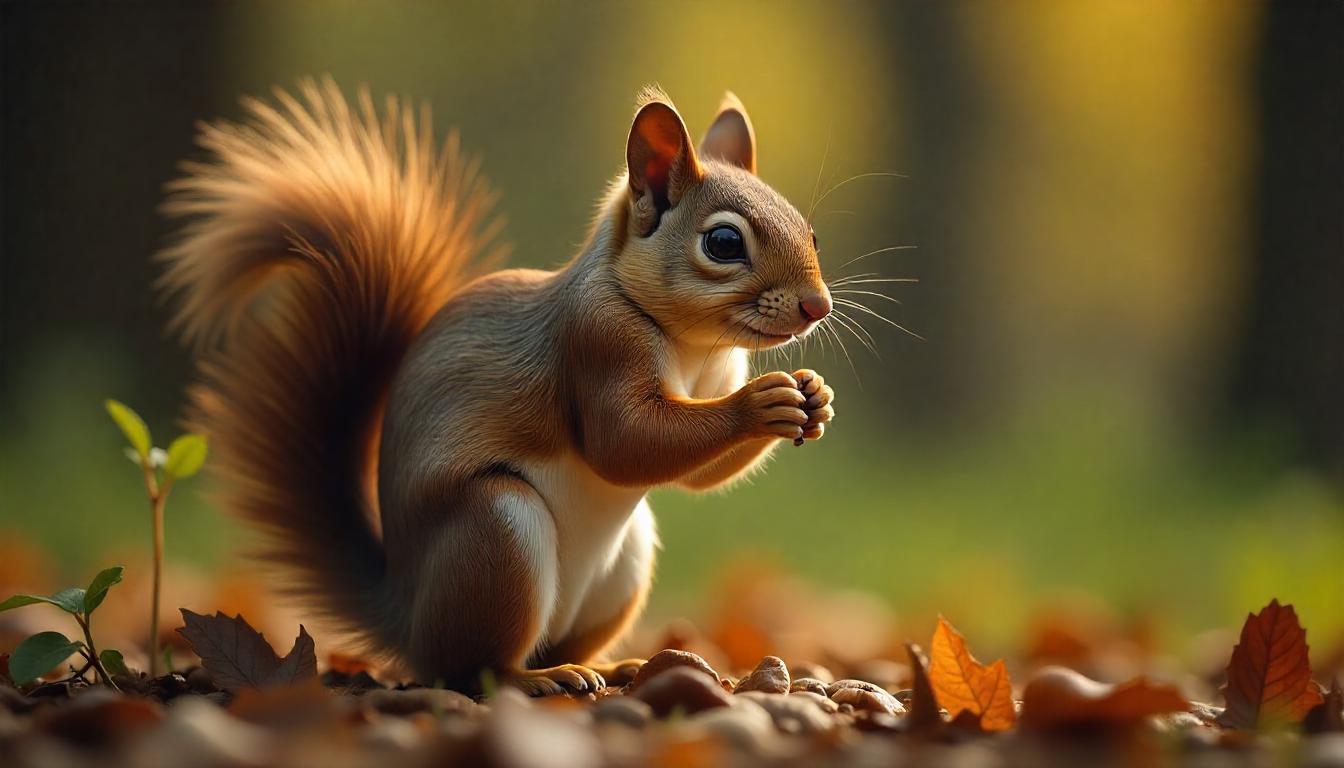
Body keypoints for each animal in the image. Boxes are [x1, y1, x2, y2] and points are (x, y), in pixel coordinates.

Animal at [159, 79, 836, 694]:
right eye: (723, 242)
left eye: (811, 232)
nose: (817, 306)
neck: (695, 349)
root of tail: (406, 617)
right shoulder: (596, 342)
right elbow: (626, 442)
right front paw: (761, 403)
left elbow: (698, 475)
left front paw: (814, 395)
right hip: (496, 533)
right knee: (469, 669)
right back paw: (536, 678)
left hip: (622, 568)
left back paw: (610, 666)